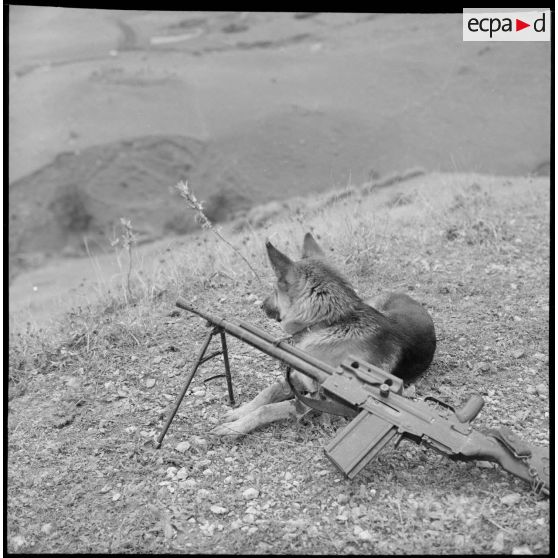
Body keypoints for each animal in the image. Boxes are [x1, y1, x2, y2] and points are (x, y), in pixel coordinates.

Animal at [211, 234, 438, 440]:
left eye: (275, 288)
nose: (261, 306)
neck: (327, 324)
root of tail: (410, 298)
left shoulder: (321, 401)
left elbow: (270, 408)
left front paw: (236, 427)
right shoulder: (301, 377)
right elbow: (269, 391)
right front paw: (238, 412)